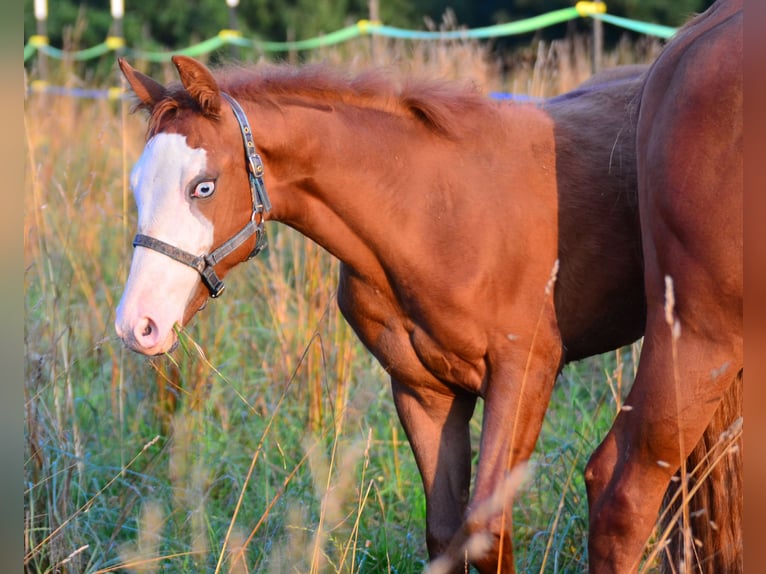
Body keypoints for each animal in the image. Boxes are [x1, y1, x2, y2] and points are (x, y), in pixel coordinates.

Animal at [114, 55, 648, 572]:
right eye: (136, 185)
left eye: (203, 187)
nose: (138, 325)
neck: (436, 214)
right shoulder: (424, 392)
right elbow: (445, 535)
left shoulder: (524, 378)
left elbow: (488, 536)